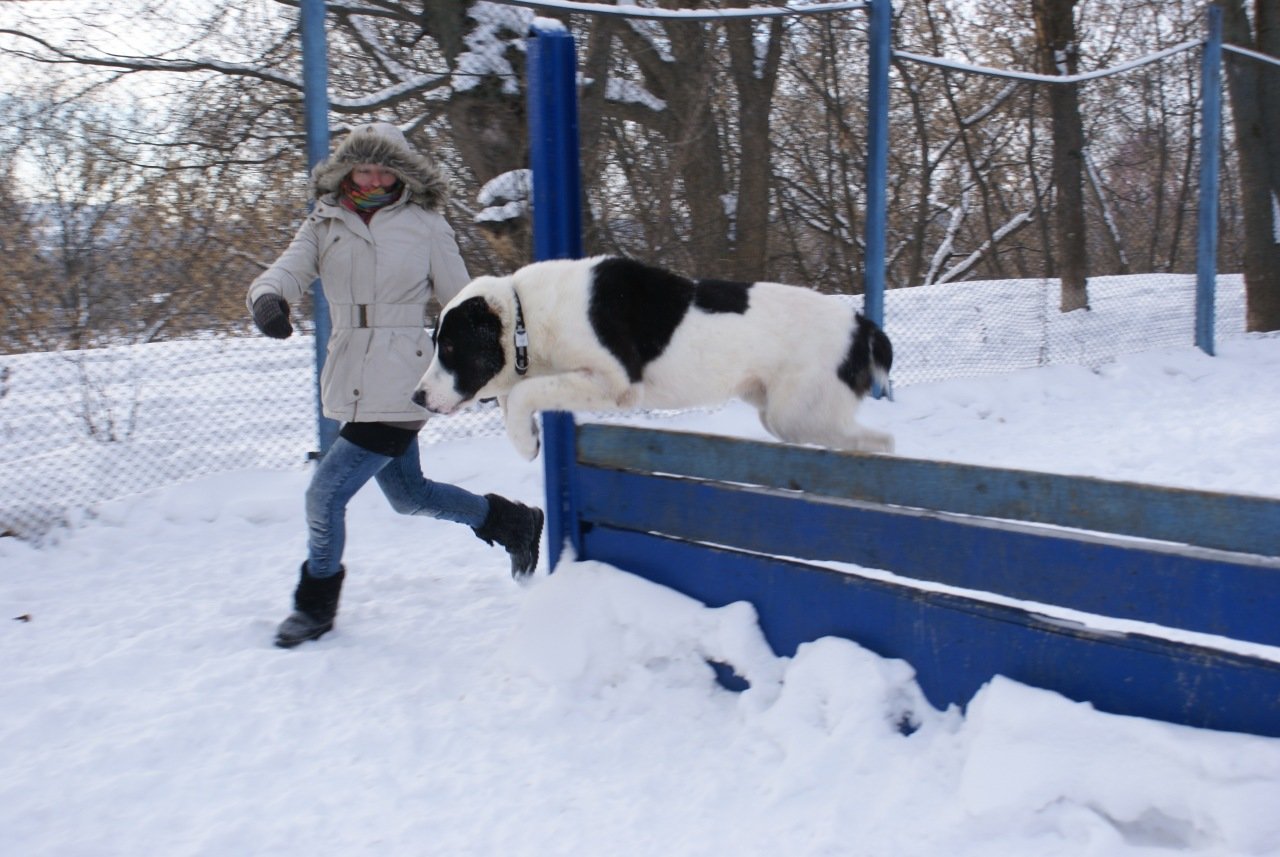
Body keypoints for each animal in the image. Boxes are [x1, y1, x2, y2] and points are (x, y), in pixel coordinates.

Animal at [414, 257, 896, 463]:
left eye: (450, 347)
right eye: (435, 343)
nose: (417, 397)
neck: (525, 318)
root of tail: (864, 327)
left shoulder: (615, 383)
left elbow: (523, 394)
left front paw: (526, 443)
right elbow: (513, 395)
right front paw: (525, 437)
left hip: (798, 414)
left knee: (883, 442)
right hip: (787, 417)